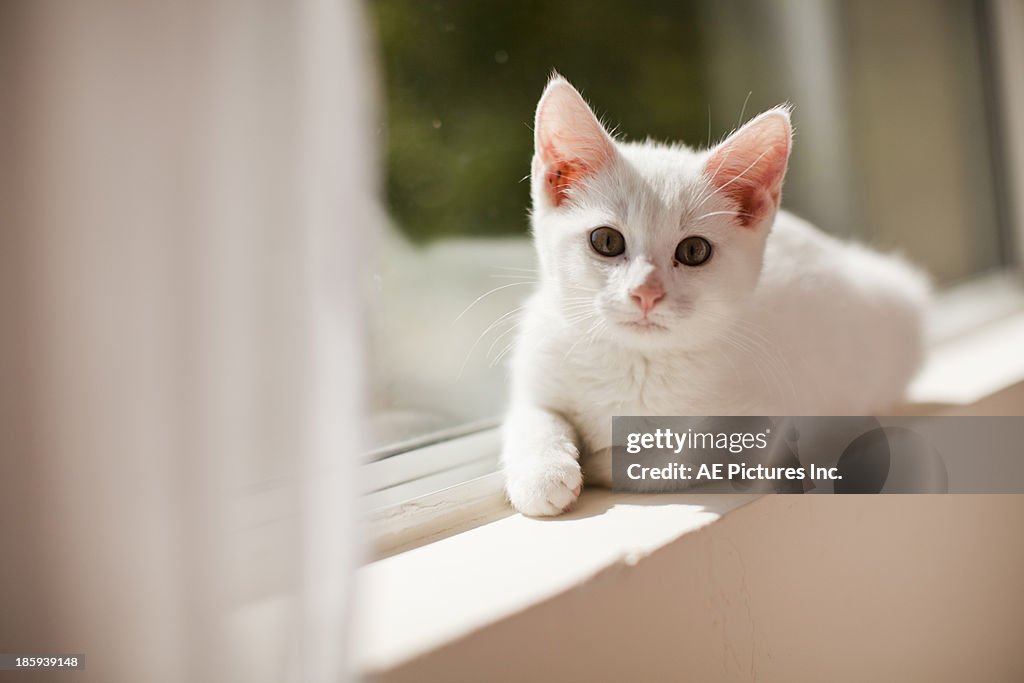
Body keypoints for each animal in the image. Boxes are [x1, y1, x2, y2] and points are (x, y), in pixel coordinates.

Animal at [499, 74, 933, 516]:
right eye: (606, 240)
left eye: (694, 251)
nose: (646, 293)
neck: (638, 362)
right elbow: (531, 416)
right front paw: (542, 472)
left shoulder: (761, 422)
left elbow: (680, 457)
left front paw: (603, 460)